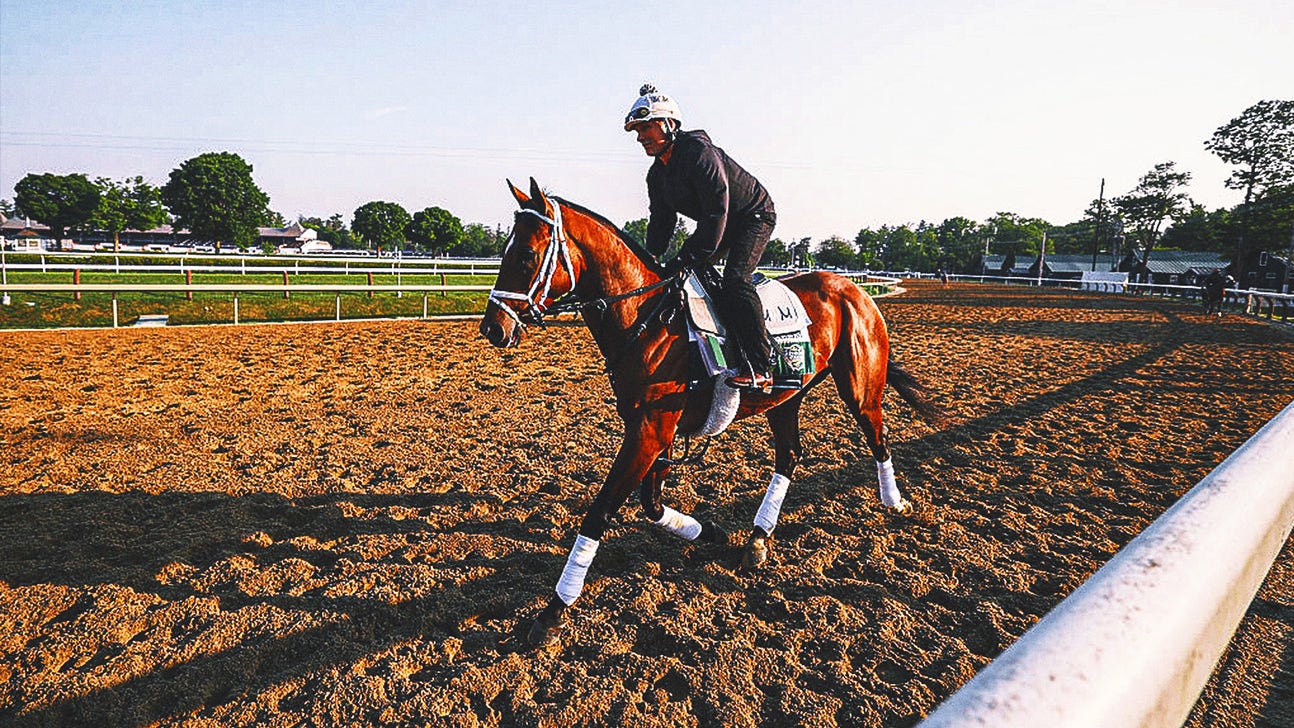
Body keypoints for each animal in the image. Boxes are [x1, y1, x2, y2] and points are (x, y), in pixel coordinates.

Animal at [479, 178, 949, 646]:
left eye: (526, 254)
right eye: (504, 251)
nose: (492, 328)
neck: (647, 319)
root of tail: (856, 290)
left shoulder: (649, 431)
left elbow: (601, 511)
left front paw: (554, 610)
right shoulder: (657, 432)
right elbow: (651, 505)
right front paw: (709, 532)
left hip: (860, 387)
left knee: (878, 437)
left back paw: (894, 501)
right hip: (786, 398)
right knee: (790, 456)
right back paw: (758, 538)